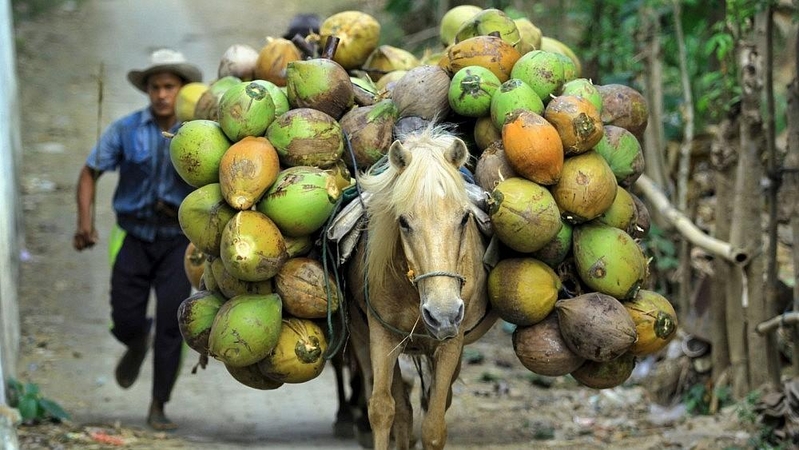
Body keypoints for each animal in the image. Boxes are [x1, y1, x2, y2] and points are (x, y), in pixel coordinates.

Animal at [346, 124, 496, 450]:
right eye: (403, 222)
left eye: (464, 218)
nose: (442, 315)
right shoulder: (382, 335)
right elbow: (383, 409)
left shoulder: (452, 342)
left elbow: (434, 425)